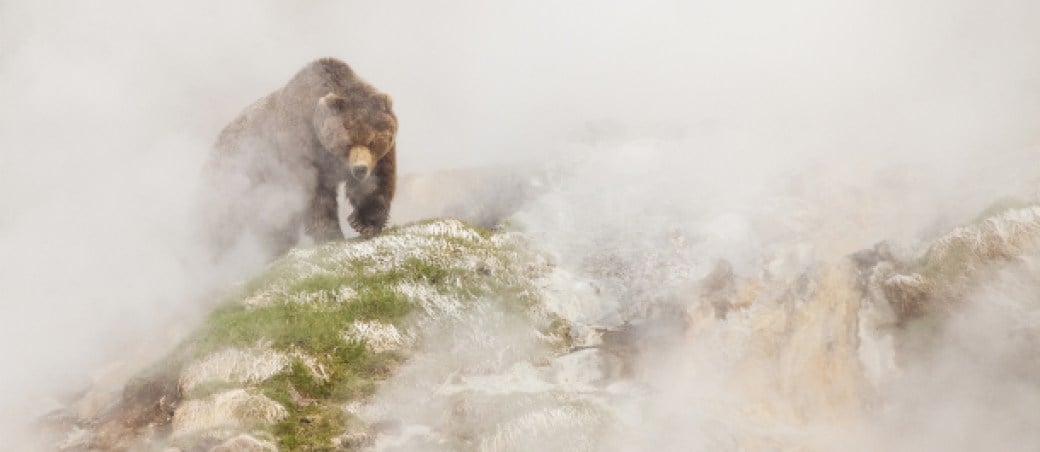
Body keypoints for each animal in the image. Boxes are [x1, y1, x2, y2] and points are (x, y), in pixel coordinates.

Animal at [199, 57, 397, 261]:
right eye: (347, 142)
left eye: (372, 141)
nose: (360, 169)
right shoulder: (302, 146)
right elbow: (315, 196)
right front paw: (331, 235)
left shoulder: (380, 157)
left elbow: (378, 183)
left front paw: (364, 223)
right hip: (237, 175)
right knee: (220, 218)